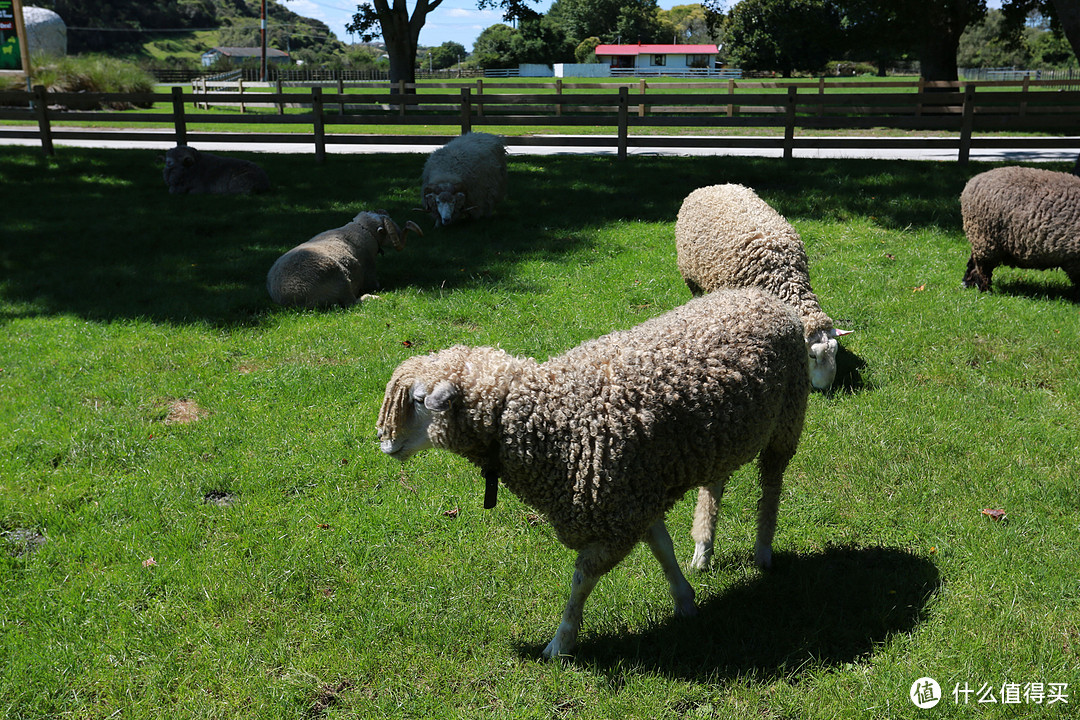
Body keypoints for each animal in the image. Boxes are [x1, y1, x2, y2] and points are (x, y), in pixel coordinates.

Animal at [265, 209, 421, 308]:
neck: (362, 230)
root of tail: (288, 299)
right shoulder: (370, 272)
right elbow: (375, 285)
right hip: (341, 281)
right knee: (352, 303)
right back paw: (375, 298)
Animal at [375, 287, 807, 660]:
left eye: (418, 400)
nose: (382, 441)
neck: (551, 416)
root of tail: (759, 296)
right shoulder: (633, 498)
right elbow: (663, 549)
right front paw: (684, 599)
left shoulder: (618, 516)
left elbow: (581, 581)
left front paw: (560, 644)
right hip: (722, 436)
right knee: (715, 484)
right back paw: (704, 547)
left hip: (787, 420)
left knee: (771, 488)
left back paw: (763, 551)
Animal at [678, 183, 846, 390]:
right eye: (812, 356)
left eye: (835, 353)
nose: (826, 388)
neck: (783, 276)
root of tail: (712, 186)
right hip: (688, 272)